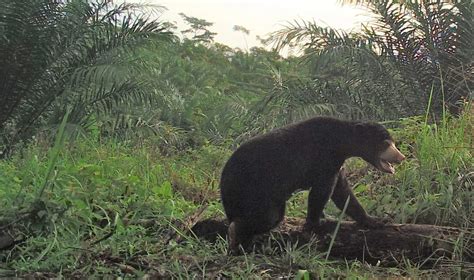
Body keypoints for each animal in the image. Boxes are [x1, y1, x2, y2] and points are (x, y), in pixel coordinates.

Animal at [220, 116, 406, 252]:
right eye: (385, 143)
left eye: (393, 142)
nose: (401, 157)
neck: (340, 144)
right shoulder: (324, 159)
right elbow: (322, 191)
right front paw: (315, 222)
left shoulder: (337, 165)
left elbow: (343, 193)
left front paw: (375, 220)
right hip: (254, 188)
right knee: (268, 217)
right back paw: (235, 235)